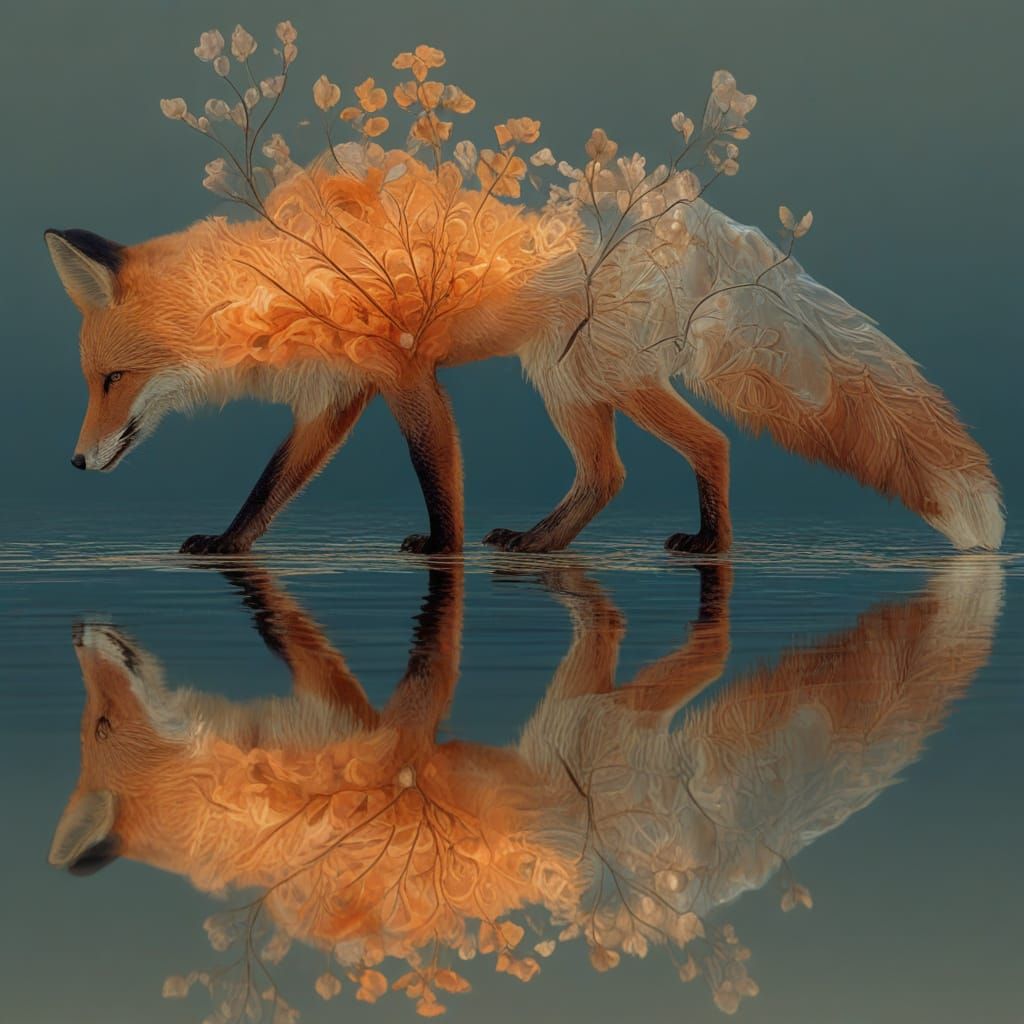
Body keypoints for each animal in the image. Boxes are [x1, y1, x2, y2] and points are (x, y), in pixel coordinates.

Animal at [49, 558, 1003, 1015]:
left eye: (97, 727)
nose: (77, 635)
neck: (250, 811)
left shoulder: (365, 738)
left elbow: (395, 695)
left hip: (579, 729)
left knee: (691, 650)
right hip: (580, 730)